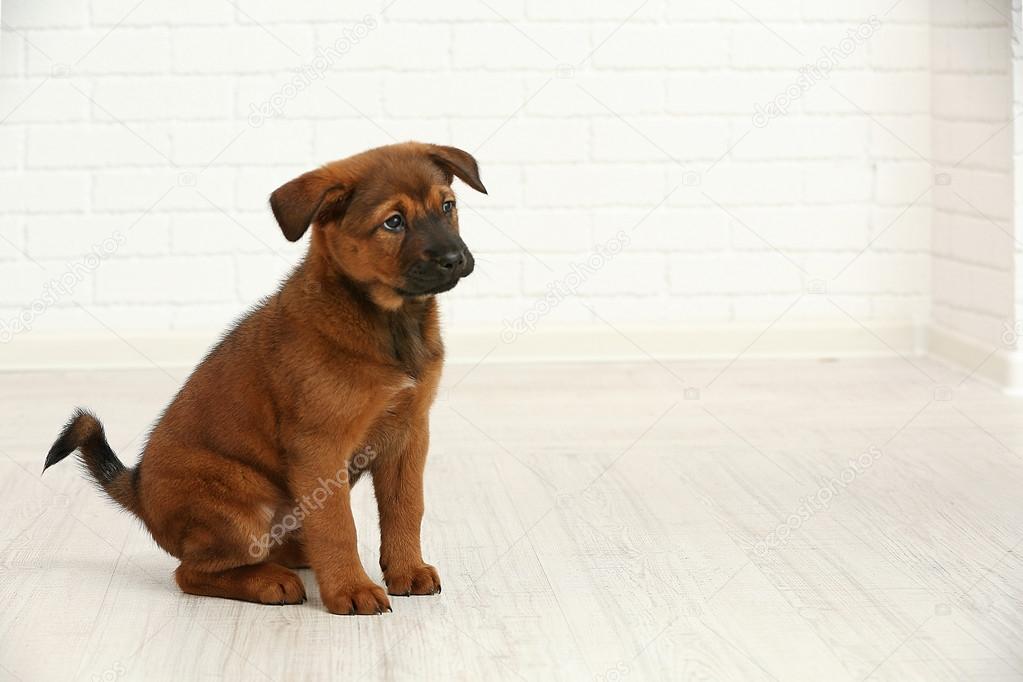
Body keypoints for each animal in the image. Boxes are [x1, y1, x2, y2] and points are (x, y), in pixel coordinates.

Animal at [42, 141, 482, 617]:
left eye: (448, 206)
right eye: (393, 222)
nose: (455, 259)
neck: (390, 323)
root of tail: (138, 489)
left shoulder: (408, 434)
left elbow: (406, 509)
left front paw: (406, 571)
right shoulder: (320, 447)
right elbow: (338, 525)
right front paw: (351, 589)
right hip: (243, 505)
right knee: (191, 572)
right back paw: (272, 581)